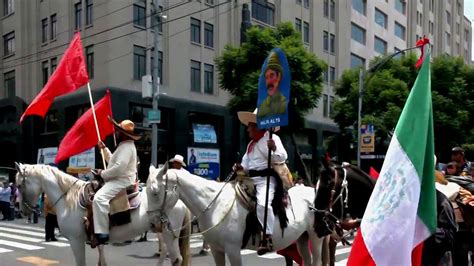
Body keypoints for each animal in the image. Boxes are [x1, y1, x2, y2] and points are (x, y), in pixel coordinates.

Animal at [15, 163, 189, 266]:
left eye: (18, 185)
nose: (23, 211)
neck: (68, 199)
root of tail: (179, 198)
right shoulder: (96, 239)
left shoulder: (76, 241)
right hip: (161, 231)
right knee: (166, 252)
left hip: (169, 233)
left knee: (176, 259)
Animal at [148, 167, 324, 264]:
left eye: (155, 192)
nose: (153, 224)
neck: (215, 205)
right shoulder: (216, 249)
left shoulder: (233, 250)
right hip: (302, 237)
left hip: (315, 237)